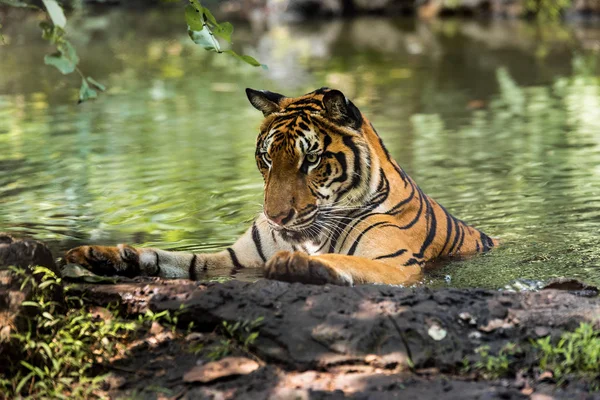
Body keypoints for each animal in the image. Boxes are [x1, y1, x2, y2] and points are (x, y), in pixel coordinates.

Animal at [63, 88, 500, 286]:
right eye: (267, 158)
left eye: (311, 160)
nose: (276, 217)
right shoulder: (235, 259)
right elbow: (179, 260)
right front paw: (104, 255)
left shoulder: (397, 263)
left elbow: (350, 262)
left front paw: (300, 265)